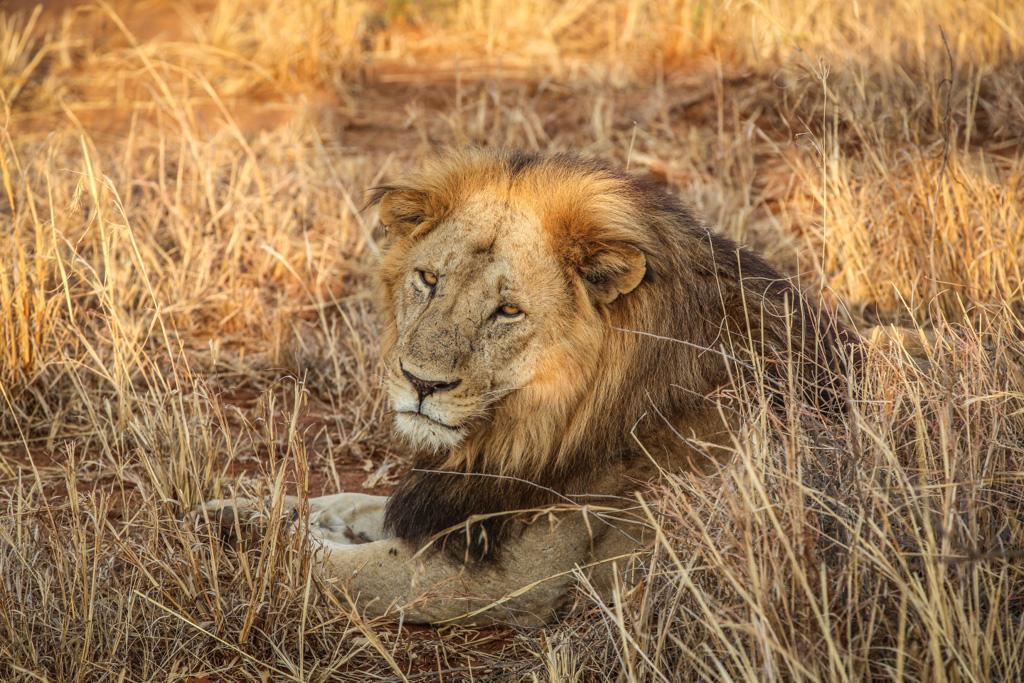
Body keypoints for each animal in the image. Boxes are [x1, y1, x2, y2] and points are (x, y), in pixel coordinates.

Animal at [193, 148, 856, 626]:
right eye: (427, 279)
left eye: (507, 312)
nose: (419, 383)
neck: (529, 424)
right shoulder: (461, 501)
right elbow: (347, 503)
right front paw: (233, 508)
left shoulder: (512, 582)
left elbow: (324, 563)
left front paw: (248, 537)